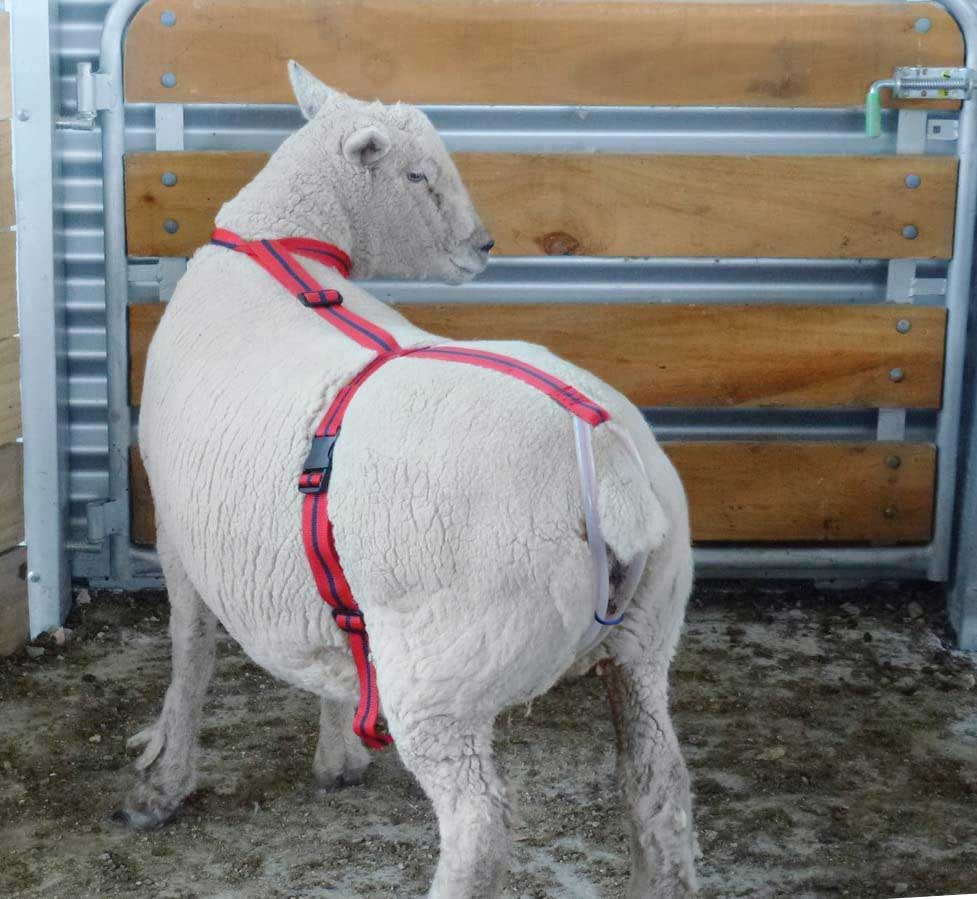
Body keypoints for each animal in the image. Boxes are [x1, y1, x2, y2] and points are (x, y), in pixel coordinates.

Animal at [121, 60, 698, 898]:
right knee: (660, 790)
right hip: (645, 641)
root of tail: (610, 464)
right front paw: (337, 754)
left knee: (479, 826)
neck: (279, 253)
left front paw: (164, 781)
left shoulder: (176, 529)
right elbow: (323, 657)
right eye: (418, 174)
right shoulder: (311, 577)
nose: (483, 244)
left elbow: (189, 653)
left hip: (445, 674)